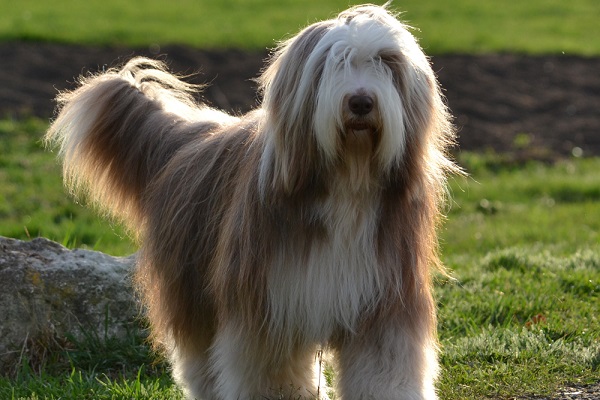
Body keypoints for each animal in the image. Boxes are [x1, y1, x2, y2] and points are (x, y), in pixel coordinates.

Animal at [47, 3, 458, 400]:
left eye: (386, 64)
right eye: (333, 63)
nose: (360, 102)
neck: (346, 182)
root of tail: (187, 136)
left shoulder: (385, 299)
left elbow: (383, 367)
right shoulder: (269, 301)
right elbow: (270, 368)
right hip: (192, 281)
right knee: (200, 354)